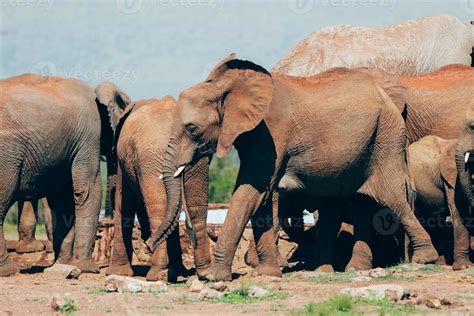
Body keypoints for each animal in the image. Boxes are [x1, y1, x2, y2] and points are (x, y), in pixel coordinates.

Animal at [0, 74, 130, 276]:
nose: (107, 221)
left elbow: (63, 200)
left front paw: (64, 265)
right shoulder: (89, 135)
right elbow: (88, 190)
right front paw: (87, 268)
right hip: (7, 153)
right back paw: (8, 271)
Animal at [108, 95, 212, 282]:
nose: (147, 245)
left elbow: (123, 203)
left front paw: (117, 273)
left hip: (151, 155)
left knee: (158, 209)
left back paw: (157, 274)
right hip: (196, 158)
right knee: (196, 208)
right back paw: (205, 273)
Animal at [145, 55, 436, 282]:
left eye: (192, 129)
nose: (148, 245)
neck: (228, 88)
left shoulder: (271, 134)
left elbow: (250, 193)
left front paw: (215, 278)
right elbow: (261, 197)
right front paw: (267, 274)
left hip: (385, 138)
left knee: (392, 196)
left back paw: (425, 259)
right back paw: (342, 270)